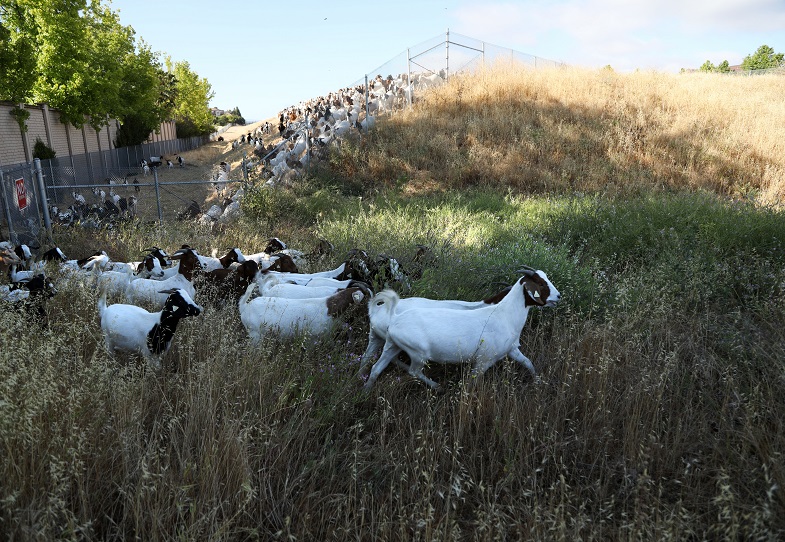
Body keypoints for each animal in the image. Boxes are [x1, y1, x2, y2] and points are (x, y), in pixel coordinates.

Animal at [362, 268, 556, 392]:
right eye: (541, 284)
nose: (558, 296)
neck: (502, 314)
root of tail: (392, 317)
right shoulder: (484, 360)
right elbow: (472, 381)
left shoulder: (512, 349)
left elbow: (528, 363)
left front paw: (538, 381)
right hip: (418, 353)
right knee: (414, 371)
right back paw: (437, 387)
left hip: (387, 343)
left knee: (373, 365)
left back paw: (364, 388)